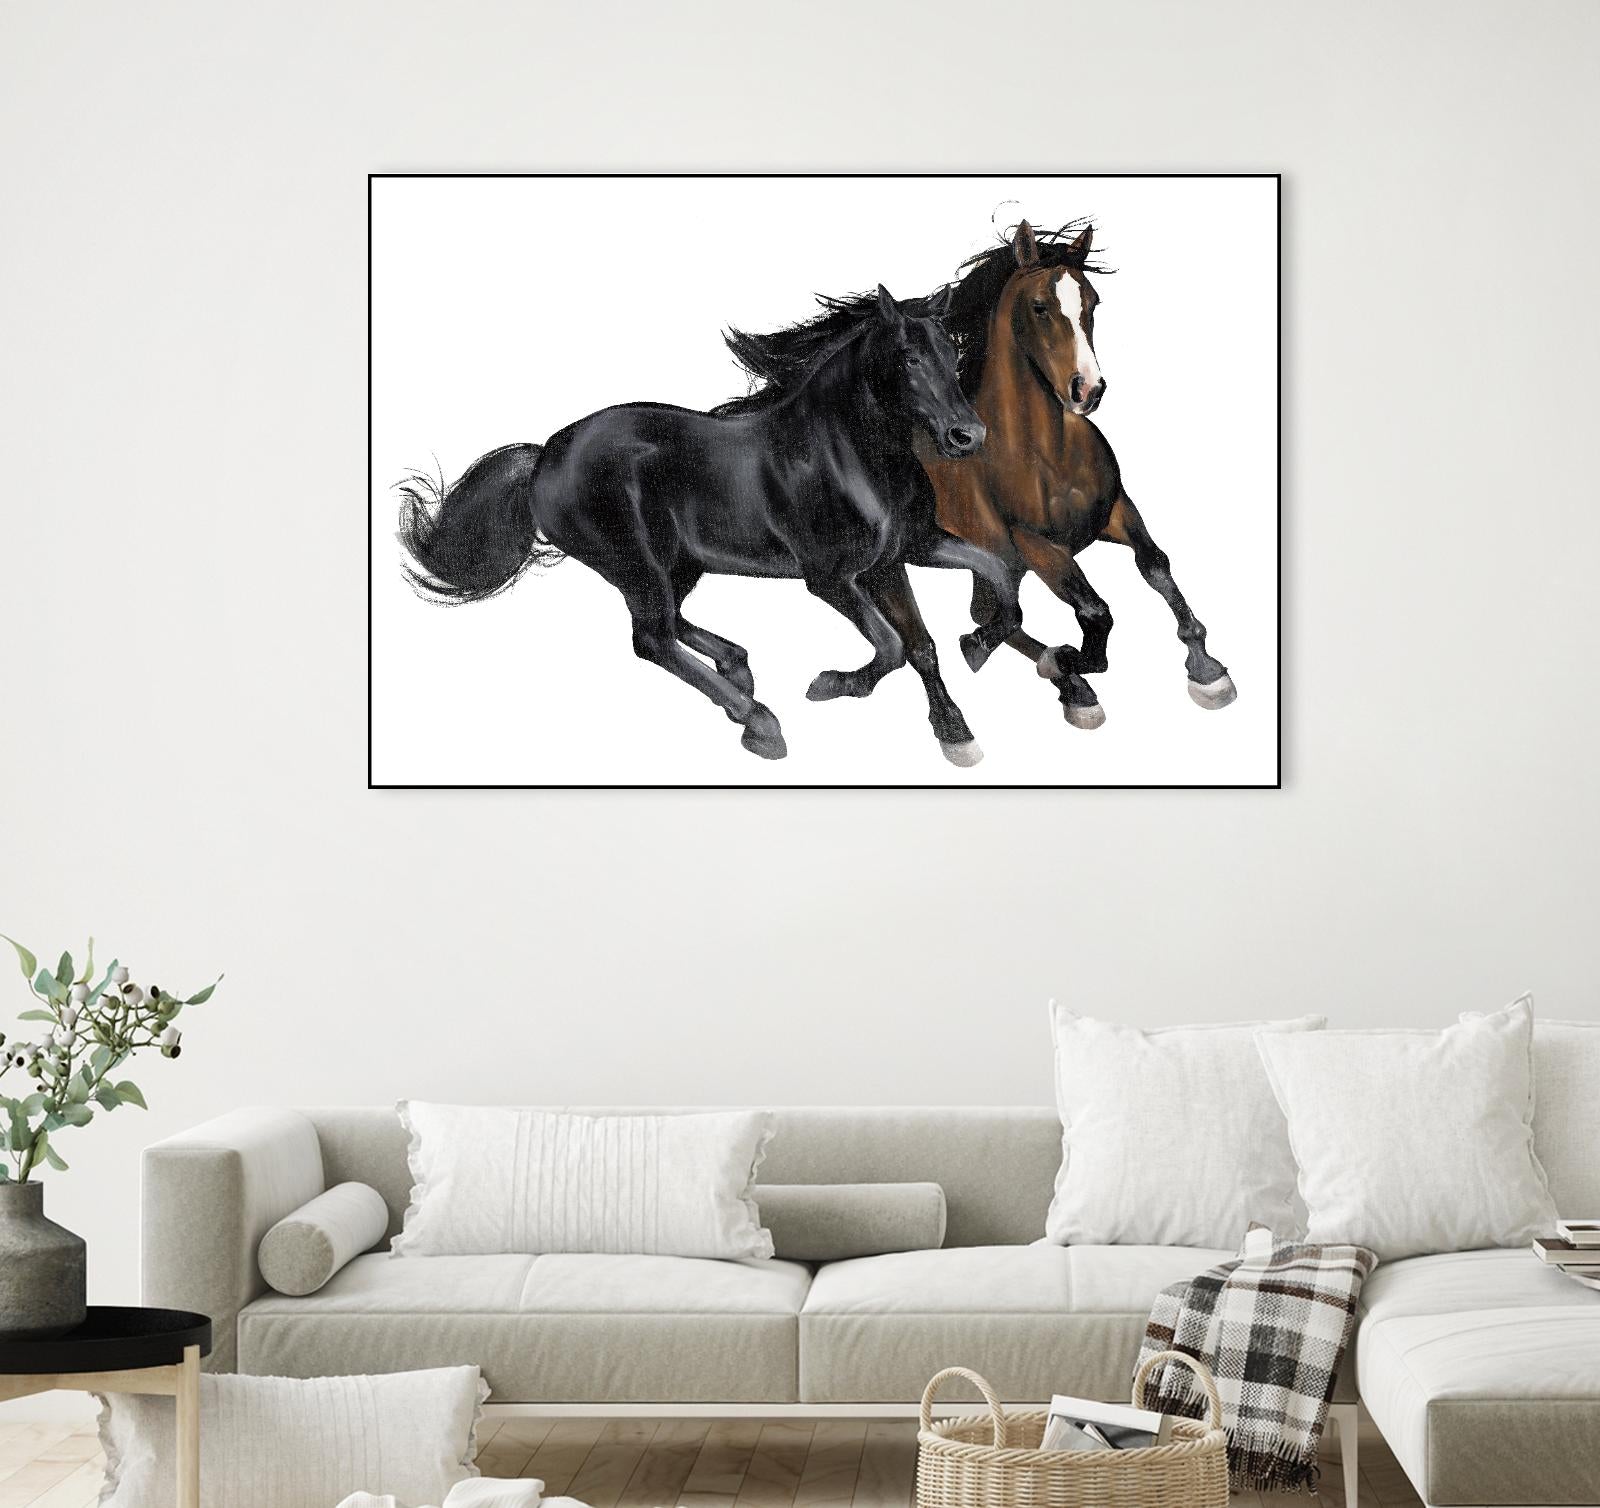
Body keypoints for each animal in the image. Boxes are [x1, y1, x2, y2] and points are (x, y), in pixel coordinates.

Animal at [397, 286, 1023, 765]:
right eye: (908, 357)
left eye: (951, 351)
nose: (968, 436)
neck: (847, 454)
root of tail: (547, 453)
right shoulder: (830, 578)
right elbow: (893, 645)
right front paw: (832, 685)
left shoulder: (903, 553)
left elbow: (972, 598)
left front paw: (963, 708)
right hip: (636, 564)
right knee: (651, 637)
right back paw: (760, 722)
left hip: (678, 564)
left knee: (668, 624)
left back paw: (739, 672)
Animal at [726, 220, 1236, 730]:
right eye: (1040, 306)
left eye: (1092, 302)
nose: (1087, 390)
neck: (1046, 453)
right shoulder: (1034, 544)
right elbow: (1095, 613)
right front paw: (1069, 663)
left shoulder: (1116, 512)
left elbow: (1156, 565)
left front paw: (1207, 670)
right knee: (963, 626)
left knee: (986, 614)